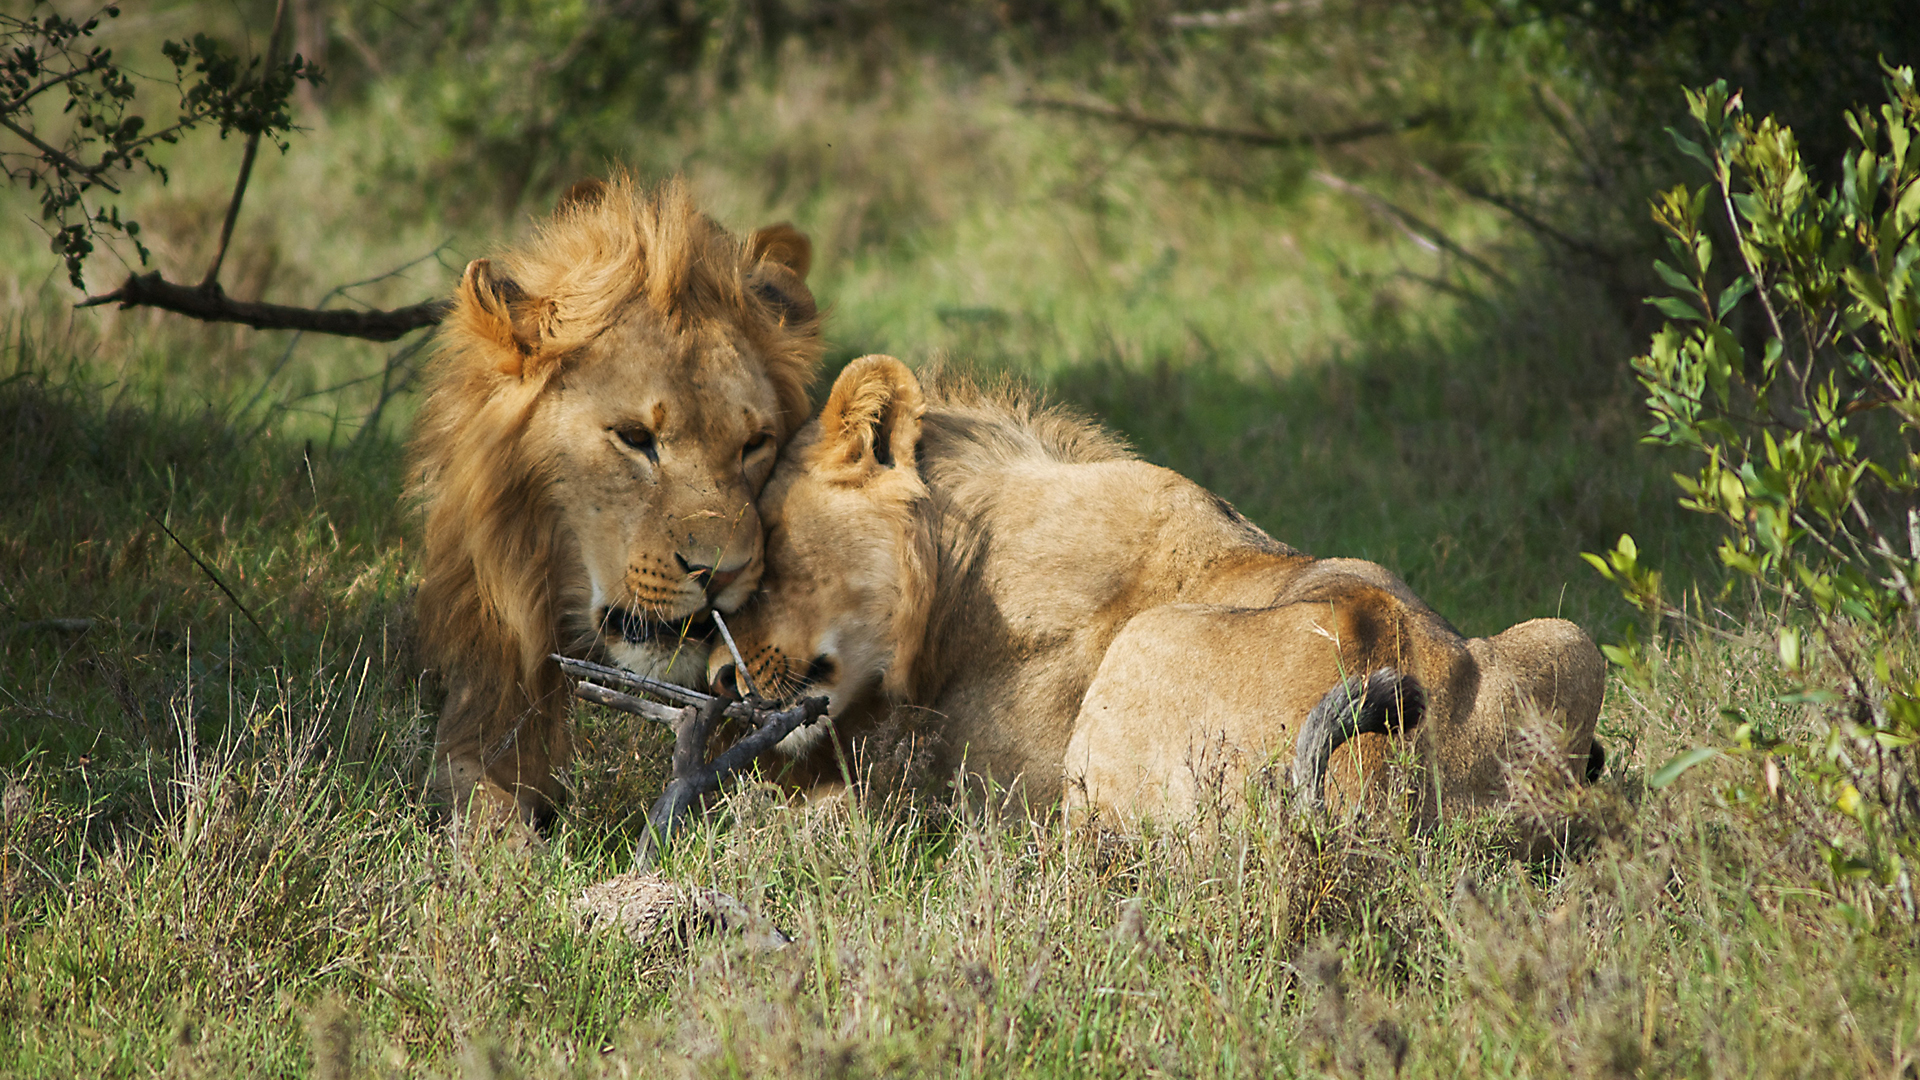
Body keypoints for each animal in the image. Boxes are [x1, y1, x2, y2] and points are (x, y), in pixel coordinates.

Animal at [711, 355, 1604, 830]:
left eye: (769, 547)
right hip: (1570, 639)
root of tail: (1379, 783)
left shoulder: (966, 787)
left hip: (1136, 667)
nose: (720, 680)